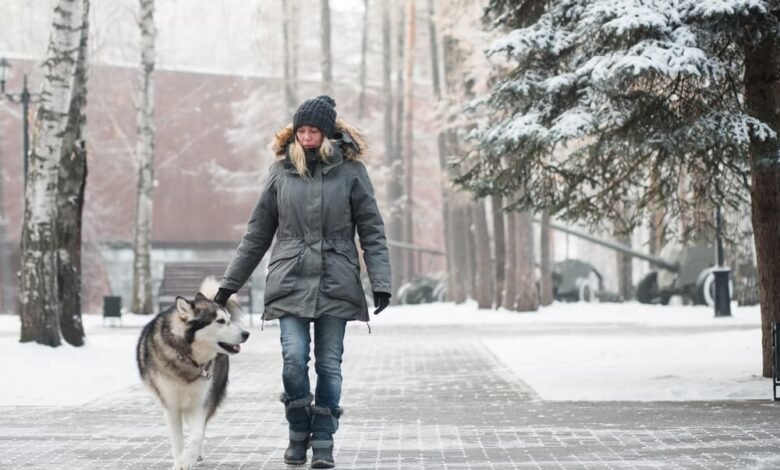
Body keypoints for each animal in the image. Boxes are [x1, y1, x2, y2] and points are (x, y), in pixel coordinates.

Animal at [137, 280, 250, 470]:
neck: (186, 356)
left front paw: (188, 458)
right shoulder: (171, 406)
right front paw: (179, 462)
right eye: (221, 321)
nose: (246, 334)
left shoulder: (200, 402)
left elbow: (197, 434)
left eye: (229, 319)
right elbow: (177, 440)